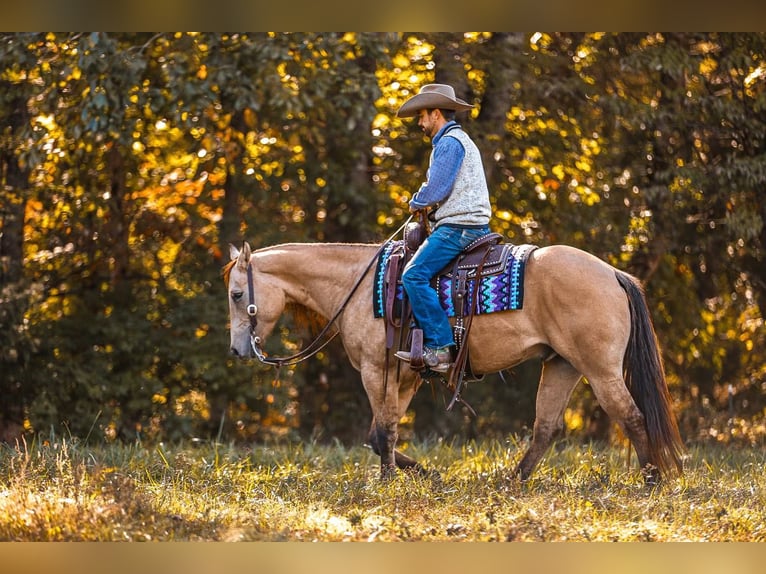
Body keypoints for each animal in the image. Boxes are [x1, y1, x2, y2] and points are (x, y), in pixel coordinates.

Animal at [225, 231, 688, 486]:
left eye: (236, 293)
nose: (236, 349)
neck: (358, 285)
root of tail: (613, 273)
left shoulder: (377, 369)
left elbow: (383, 434)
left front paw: (388, 482)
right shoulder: (405, 376)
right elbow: (379, 434)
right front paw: (426, 475)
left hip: (599, 369)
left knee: (632, 417)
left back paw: (651, 481)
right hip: (563, 365)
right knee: (545, 429)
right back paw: (510, 483)